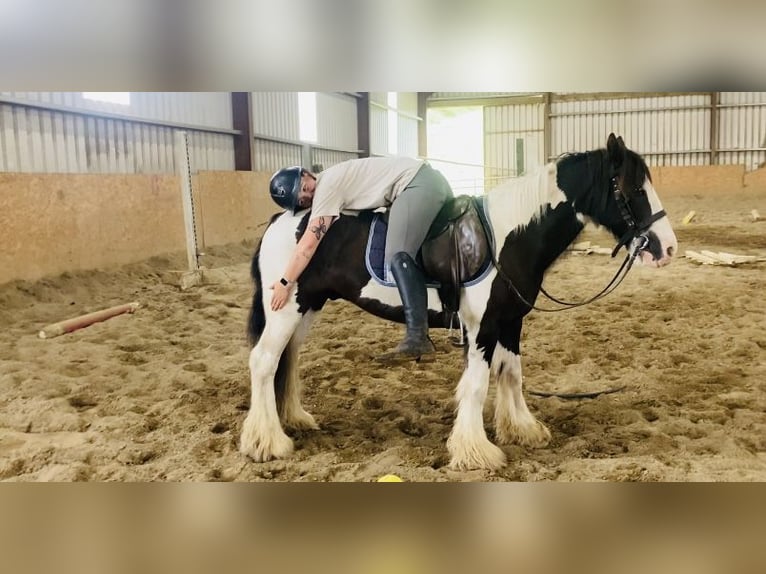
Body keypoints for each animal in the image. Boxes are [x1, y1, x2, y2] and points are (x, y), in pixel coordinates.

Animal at [238, 135, 680, 472]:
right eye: (633, 188)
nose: (668, 247)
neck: (508, 236)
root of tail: (282, 221)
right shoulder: (481, 326)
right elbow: (477, 383)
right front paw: (476, 450)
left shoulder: (511, 320)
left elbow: (511, 373)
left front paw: (522, 428)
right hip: (285, 307)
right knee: (264, 363)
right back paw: (267, 442)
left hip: (307, 306)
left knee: (288, 359)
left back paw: (294, 420)